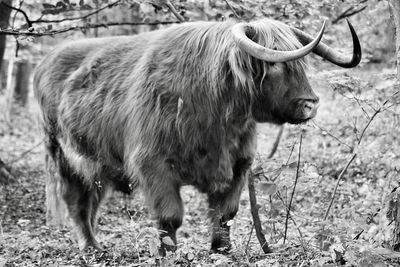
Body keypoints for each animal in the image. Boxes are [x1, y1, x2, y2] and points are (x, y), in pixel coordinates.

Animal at [32, 19, 360, 255]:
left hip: (96, 164)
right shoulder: (153, 164)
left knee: (91, 202)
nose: (310, 103)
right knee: (76, 202)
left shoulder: (238, 165)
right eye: (274, 64)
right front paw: (168, 255)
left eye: (303, 65)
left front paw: (221, 252)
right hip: (62, 154)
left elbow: (225, 214)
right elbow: (170, 217)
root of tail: (46, 60)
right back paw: (91, 249)